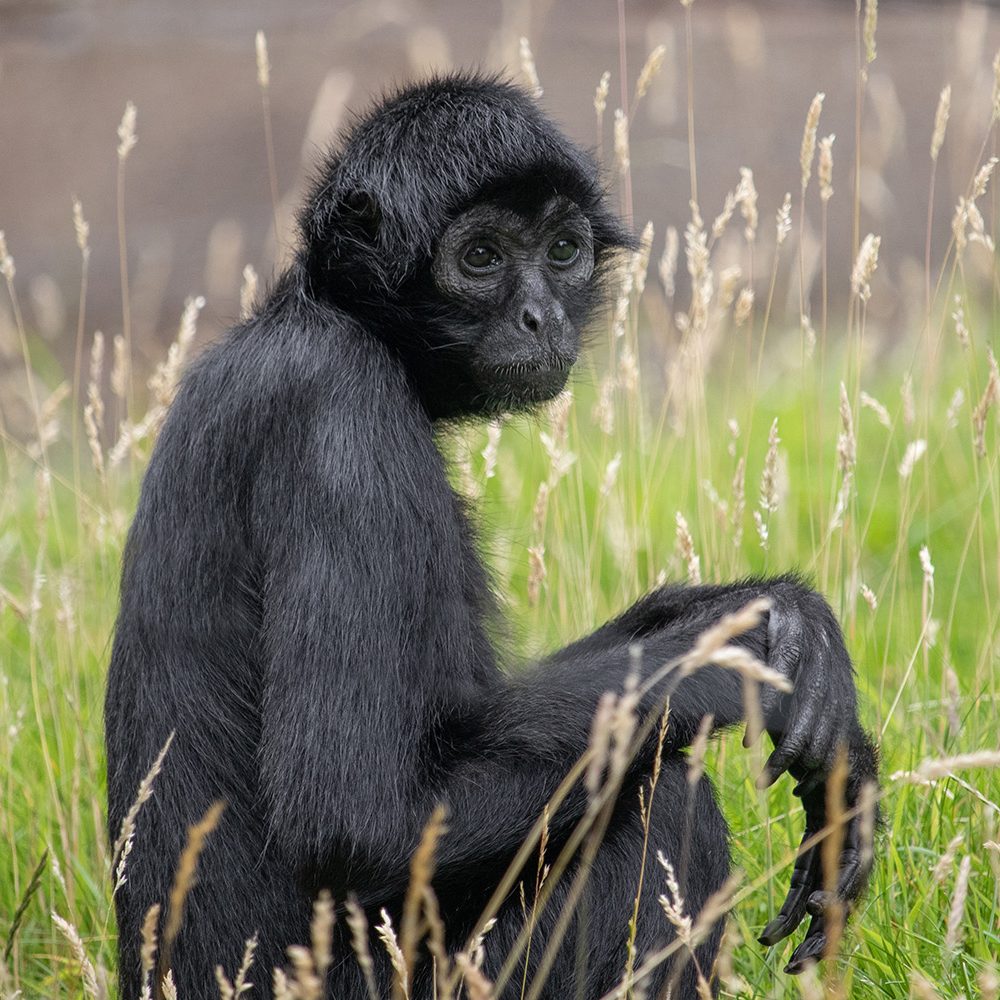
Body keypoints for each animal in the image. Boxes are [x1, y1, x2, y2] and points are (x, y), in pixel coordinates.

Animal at [105, 74, 880, 996]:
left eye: (562, 249)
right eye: (479, 258)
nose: (542, 315)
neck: (325, 316)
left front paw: (767, 612)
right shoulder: (338, 418)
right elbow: (357, 817)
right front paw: (740, 660)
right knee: (662, 804)